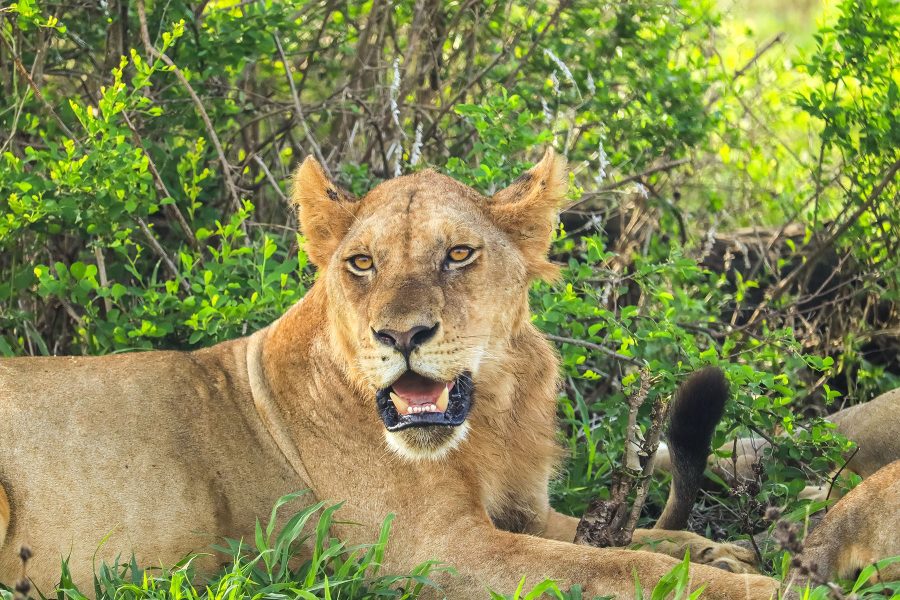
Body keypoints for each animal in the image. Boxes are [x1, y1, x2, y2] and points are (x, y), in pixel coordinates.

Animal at [0, 149, 772, 596]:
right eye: (362, 263)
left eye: (458, 254)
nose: (401, 335)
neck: (492, 417)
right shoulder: (432, 552)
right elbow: (620, 566)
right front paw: (767, 587)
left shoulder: (525, 513)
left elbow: (633, 539)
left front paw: (726, 552)